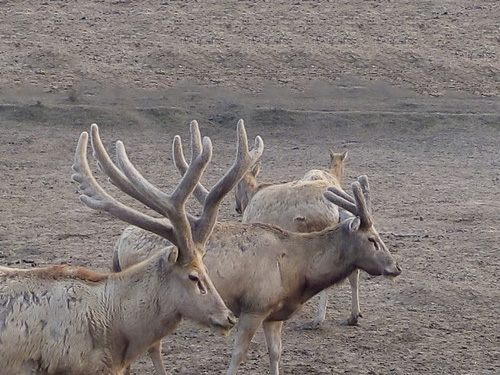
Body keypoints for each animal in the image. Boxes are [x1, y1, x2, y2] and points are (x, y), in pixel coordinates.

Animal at [114, 124, 402, 375]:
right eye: (372, 239)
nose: (396, 266)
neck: (296, 272)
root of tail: (118, 243)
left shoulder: (274, 314)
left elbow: (276, 352)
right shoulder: (254, 307)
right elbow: (238, 354)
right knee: (152, 347)